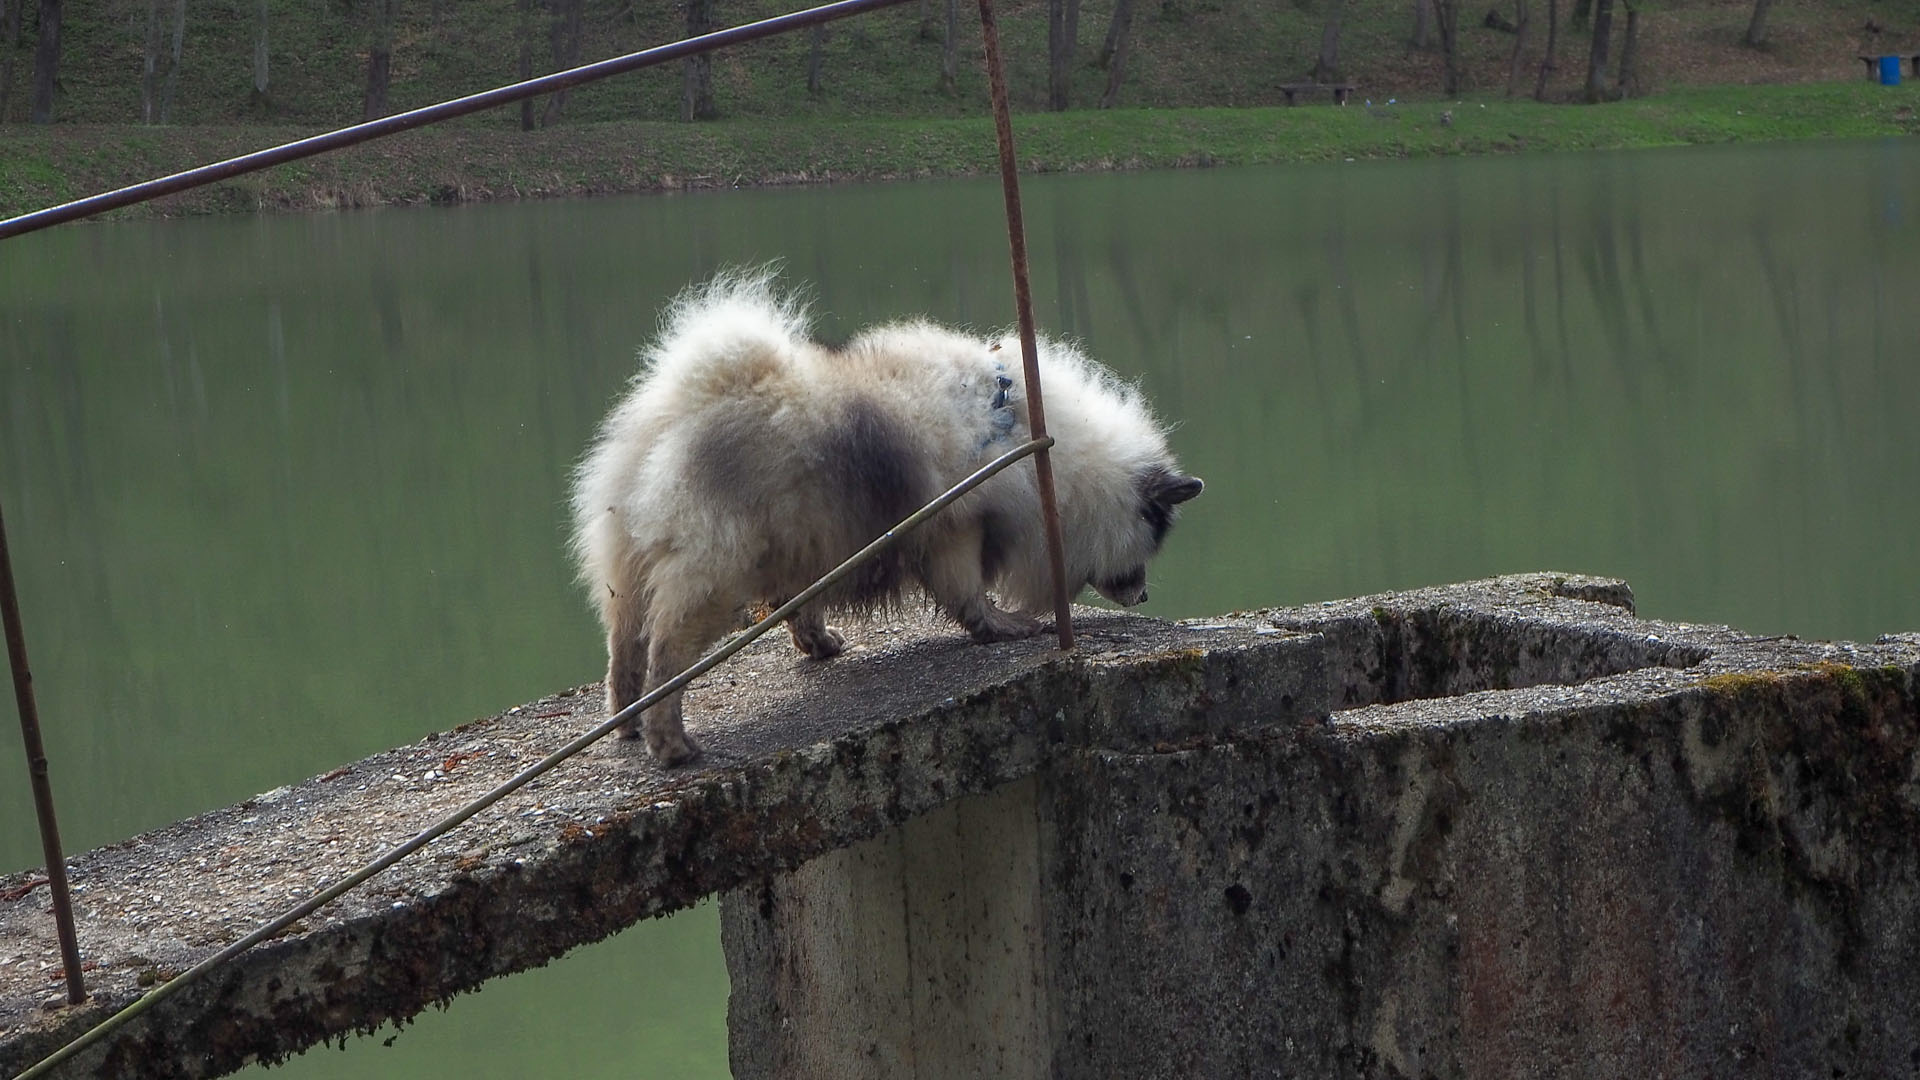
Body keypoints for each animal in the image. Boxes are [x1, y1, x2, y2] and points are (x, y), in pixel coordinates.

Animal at [568, 272, 1198, 760]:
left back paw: (627, 723)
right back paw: (670, 742)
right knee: (667, 658)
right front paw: (1002, 626)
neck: (1034, 442)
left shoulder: (816, 547)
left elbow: (805, 606)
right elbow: (967, 591)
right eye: (1150, 541)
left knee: (625, 649)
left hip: (631, 564)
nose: (1143, 595)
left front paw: (817, 640)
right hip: (714, 572)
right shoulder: (954, 524)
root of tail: (678, 413)